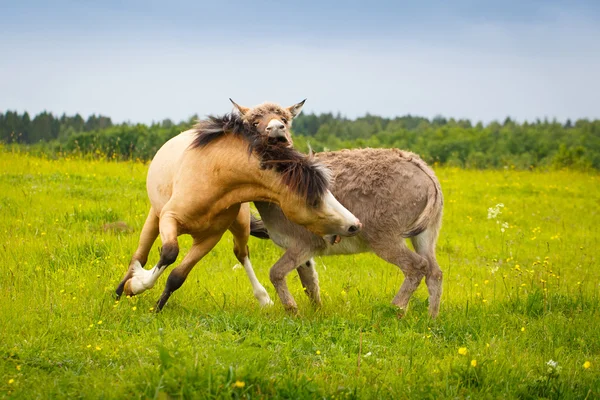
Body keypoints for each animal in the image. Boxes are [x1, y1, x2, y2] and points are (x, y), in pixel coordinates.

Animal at [115, 102, 364, 310]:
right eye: (313, 201)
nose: (354, 225)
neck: (214, 177)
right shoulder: (170, 218)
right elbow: (168, 253)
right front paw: (135, 286)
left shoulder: (209, 238)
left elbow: (177, 276)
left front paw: (157, 307)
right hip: (155, 217)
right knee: (140, 255)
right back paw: (118, 293)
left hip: (240, 226)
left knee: (242, 254)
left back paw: (264, 298)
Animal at [250, 148, 446, 318]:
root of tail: (422, 169)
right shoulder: (300, 250)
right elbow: (309, 282)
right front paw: (317, 312)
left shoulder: (304, 244)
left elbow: (276, 273)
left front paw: (292, 311)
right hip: (424, 235)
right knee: (434, 273)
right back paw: (431, 318)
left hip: (384, 239)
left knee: (416, 266)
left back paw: (395, 310)